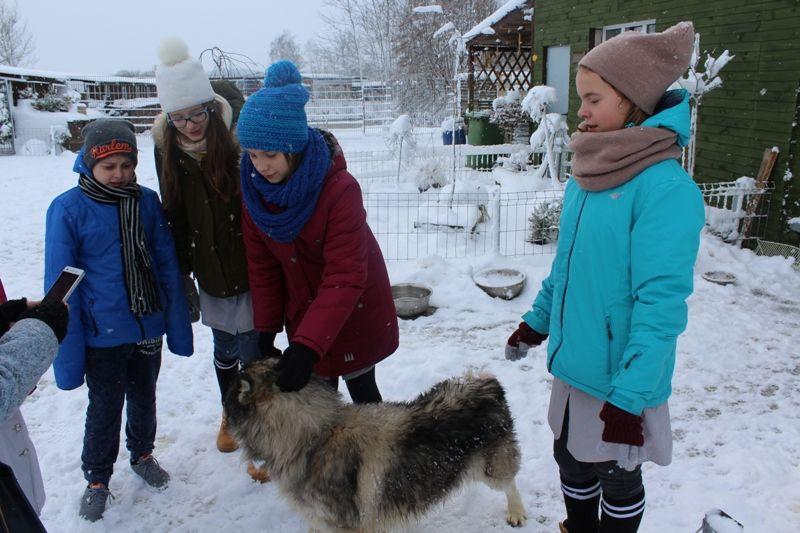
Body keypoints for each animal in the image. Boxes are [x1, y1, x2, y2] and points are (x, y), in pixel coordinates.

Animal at [225, 358, 528, 532]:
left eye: (230, 390)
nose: (223, 390)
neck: (315, 437)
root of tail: (487, 383)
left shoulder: (347, 525)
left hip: (491, 470)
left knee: (510, 483)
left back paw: (516, 513)